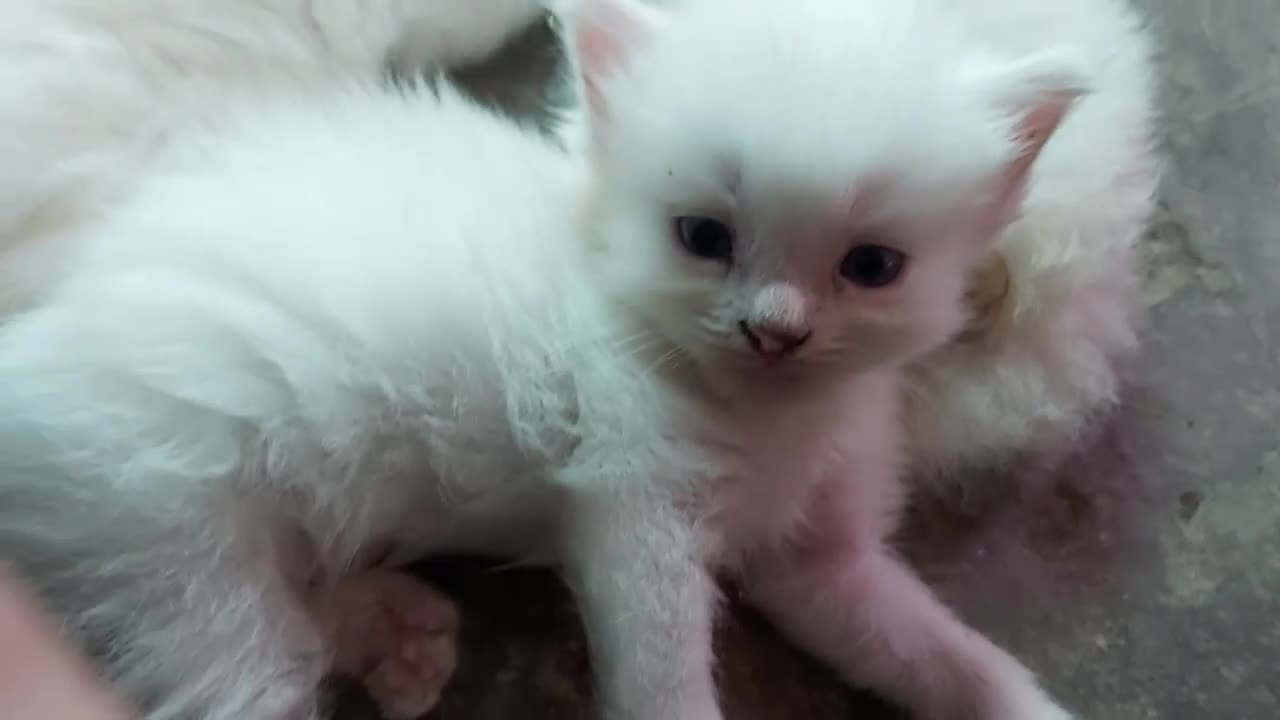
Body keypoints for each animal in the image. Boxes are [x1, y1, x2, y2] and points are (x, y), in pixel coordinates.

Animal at [0, 1, 1126, 717]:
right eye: (703, 236)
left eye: (871, 266)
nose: (773, 332)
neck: (763, 417)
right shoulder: (633, 521)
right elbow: (663, 681)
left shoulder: (818, 561)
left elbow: (935, 653)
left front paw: (1019, 704)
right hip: (165, 542)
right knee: (240, 669)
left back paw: (391, 631)